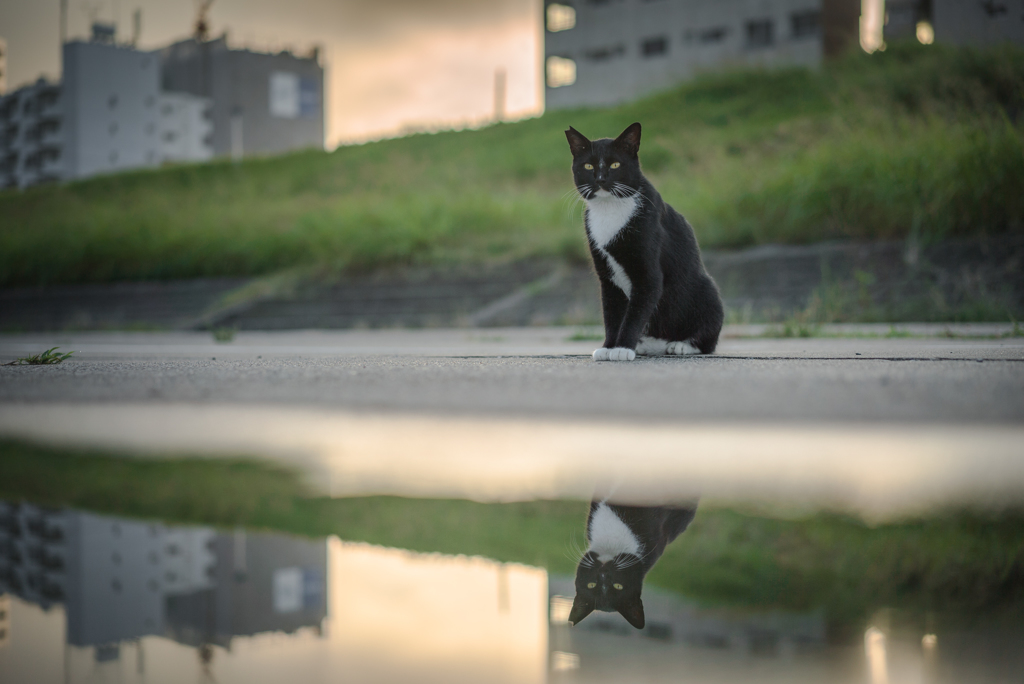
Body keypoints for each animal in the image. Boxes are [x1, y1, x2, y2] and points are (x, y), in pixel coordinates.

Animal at [565, 121, 724, 362]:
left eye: (615, 164)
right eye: (588, 166)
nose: (600, 180)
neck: (610, 209)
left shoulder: (648, 274)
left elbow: (635, 313)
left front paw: (622, 348)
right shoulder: (607, 279)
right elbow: (612, 315)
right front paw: (609, 346)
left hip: (706, 291)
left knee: (709, 338)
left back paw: (682, 345)